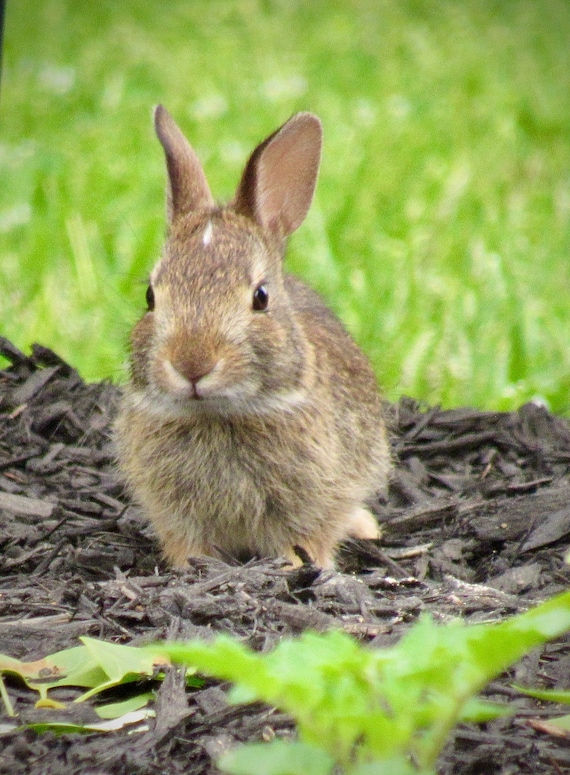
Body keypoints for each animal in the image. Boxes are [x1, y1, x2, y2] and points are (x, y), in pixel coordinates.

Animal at [114, 105, 391, 569]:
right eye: (150, 296)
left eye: (260, 297)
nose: (192, 364)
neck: (219, 416)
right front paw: (191, 568)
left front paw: (297, 565)